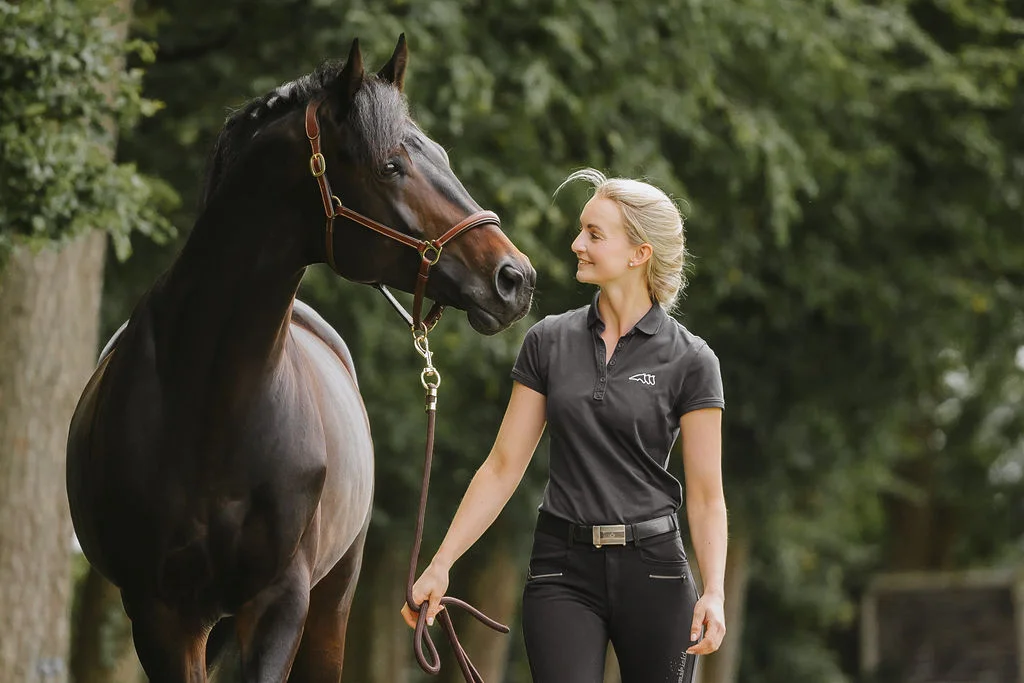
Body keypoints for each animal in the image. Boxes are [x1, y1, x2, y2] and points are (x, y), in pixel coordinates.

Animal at [64, 37, 536, 683]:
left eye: (440, 154)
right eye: (391, 165)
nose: (515, 279)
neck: (210, 402)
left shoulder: (280, 602)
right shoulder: (160, 615)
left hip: (331, 607)